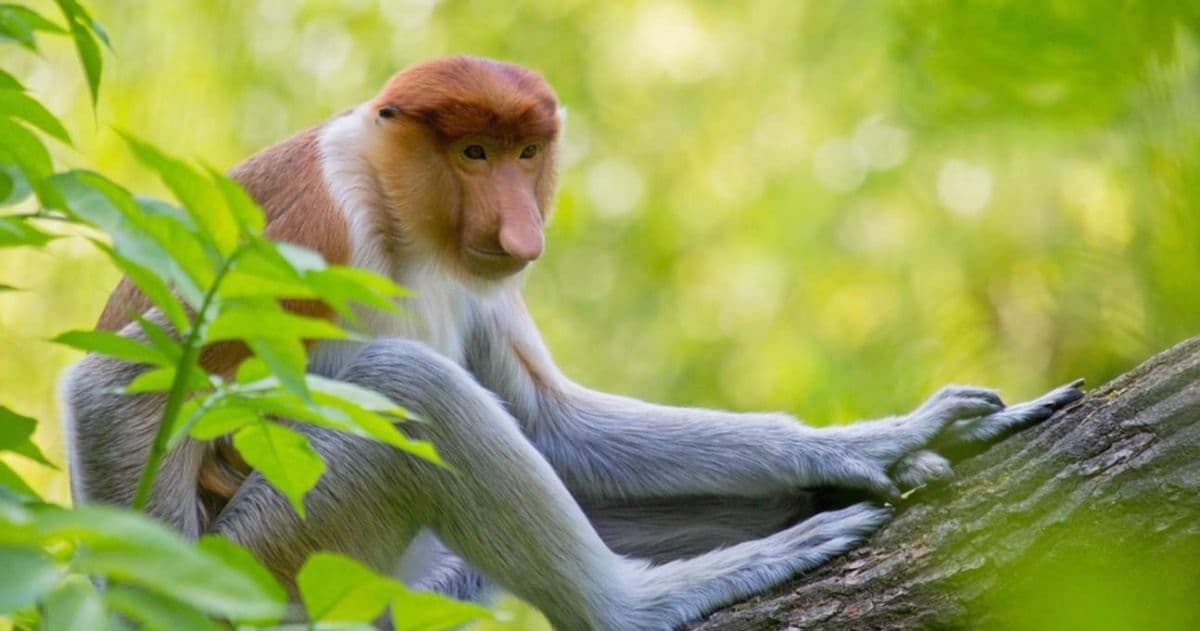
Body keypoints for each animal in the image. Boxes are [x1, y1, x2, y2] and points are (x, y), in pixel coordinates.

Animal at [62, 56, 1084, 630]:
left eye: (525, 154)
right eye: (471, 154)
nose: (520, 228)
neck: (397, 212)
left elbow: (549, 420)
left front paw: (882, 438)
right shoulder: (303, 233)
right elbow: (112, 382)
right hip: (287, 558)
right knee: (412, 392)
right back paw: (639, 603)